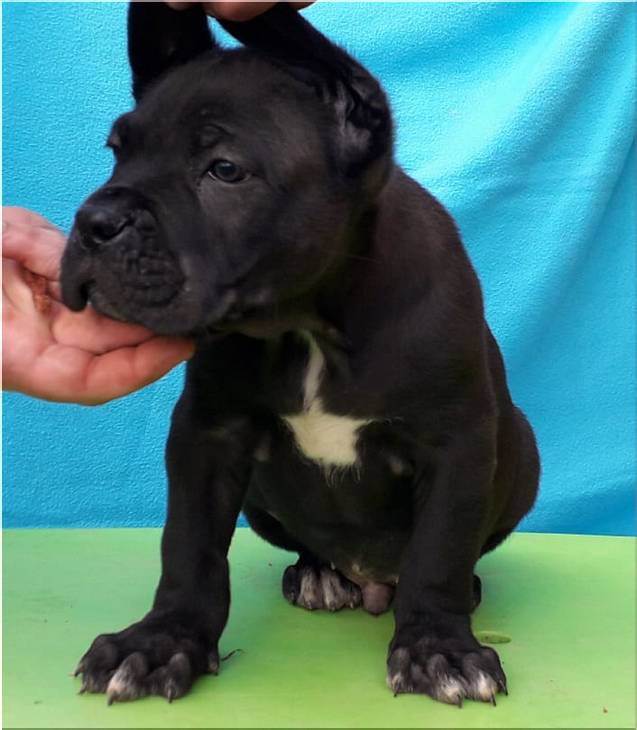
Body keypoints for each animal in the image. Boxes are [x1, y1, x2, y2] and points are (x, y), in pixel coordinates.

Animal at [61, 2, 540, 707]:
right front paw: (161, 641)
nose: (94, 222)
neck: (308, 324)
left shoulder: (456, 441)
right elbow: (189, 546)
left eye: (225, 169)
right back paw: (317, 572)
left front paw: (438, 647)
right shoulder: (209, 433)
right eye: (116, 153)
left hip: (520, 453)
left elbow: (440, 552)